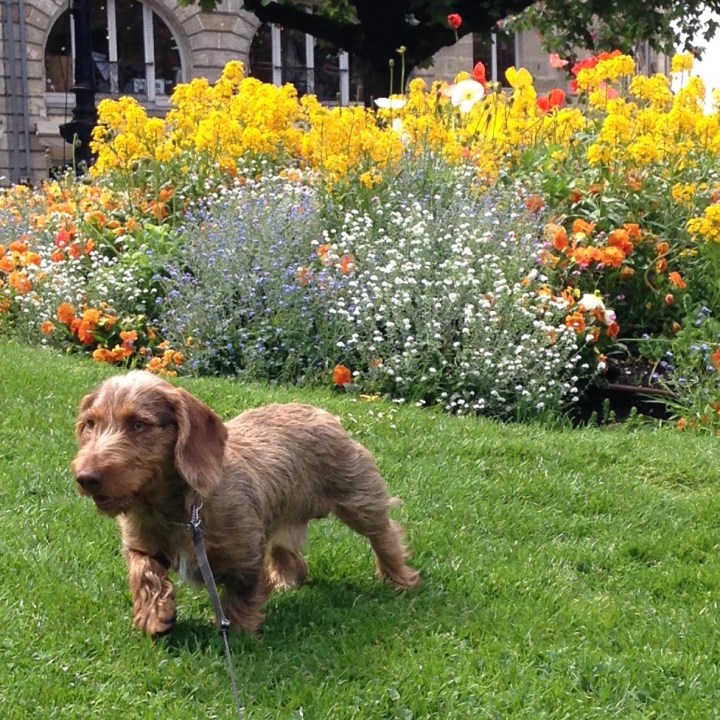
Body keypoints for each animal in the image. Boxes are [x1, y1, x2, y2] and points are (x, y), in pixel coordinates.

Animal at [71, 371, 420, 636]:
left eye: (138, 424)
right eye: (91, 423)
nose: (85, 477)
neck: (177, 511)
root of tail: (321, 412)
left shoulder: (246, 555)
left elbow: (242, 592)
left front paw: (239, 630)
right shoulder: (141, 545)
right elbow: (144, 572)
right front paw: (155, 615)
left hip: (358, 498)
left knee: (385, 535)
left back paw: (399, 578)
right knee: (287, 549)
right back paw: (288, 577)